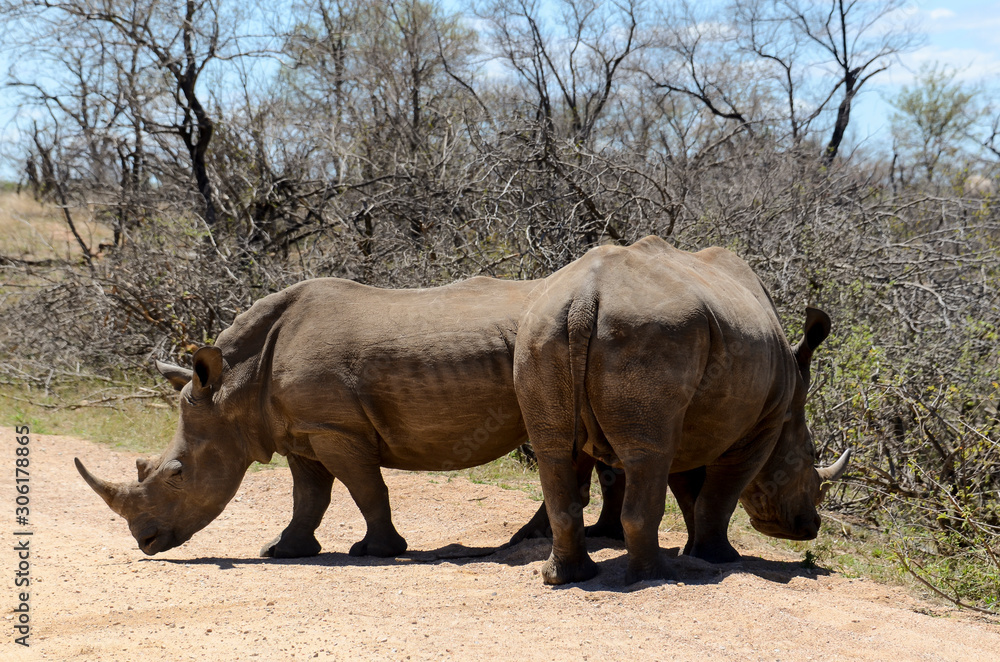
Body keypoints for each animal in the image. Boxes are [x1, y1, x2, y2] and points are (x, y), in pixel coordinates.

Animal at [513, 236, 850, 584]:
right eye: (810, 453)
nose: (809, 527)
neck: (793, 403)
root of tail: (584, 298)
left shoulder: (695, 422)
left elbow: (692, 494)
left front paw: (696, 551)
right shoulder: (762, 424)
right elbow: (720, 494)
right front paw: (722, 557)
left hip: (540, 331)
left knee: (555, 449)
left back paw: (569, 577)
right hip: (651, 333)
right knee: (648, 455)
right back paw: (654, 576)